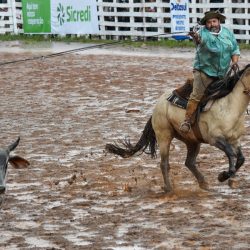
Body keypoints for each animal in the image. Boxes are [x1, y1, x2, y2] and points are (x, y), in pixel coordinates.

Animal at [105, 63, 250, 192]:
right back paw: (168, 188)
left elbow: (241, 159)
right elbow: (231, 153)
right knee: (164, 163)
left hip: (192, 141)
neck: (229, 106)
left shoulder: (235, 139)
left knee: (189, 162)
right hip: (164, 136)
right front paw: (223, 176)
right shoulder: (215, 139)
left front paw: (225, 177)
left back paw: (203, 183)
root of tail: (158, 105)